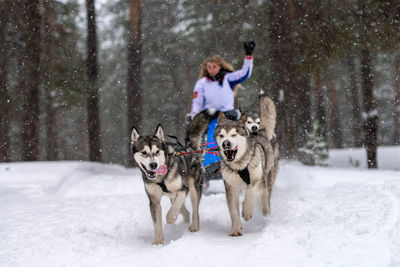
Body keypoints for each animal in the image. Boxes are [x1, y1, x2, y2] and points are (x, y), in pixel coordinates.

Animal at [216, 95, 278, 238]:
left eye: (234, 134)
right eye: (221, 135)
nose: (226, 143)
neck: (240, 166)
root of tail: (260, 134)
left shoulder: (258, 180)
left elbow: (251, 191)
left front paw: (246, 210)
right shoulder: (230, 187)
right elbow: (233, 210)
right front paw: (236, 229)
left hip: (267, 178)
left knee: (265, 195)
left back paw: (265, 213)